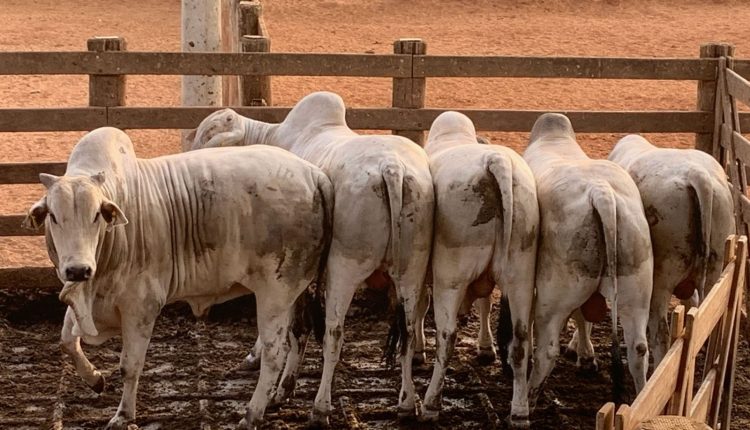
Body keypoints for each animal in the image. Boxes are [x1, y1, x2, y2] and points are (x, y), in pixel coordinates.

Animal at [23, 126, 332, 428]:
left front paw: (123, 415)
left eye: (97, 214)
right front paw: (95, 380)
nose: (79, 269)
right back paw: (282, 393)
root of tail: (313, 173)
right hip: (294, 291)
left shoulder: (141, 306)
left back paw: (252, 413)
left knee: (273, 353)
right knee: (299, 332)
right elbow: (66, 342)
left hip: (276, 293)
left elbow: (129, 366)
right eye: (53, 216)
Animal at [188, 91, 434, 424]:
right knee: (407, 333)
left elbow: (293, 330)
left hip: (345, 267)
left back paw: (320, 408)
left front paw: (277, 385)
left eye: (209, 134)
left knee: (334, 334)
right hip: (411, 270)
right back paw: (407, 403)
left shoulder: (287, 272)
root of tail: (391, 168)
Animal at [424, 111, 540, 426]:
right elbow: (486, 303)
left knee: (447, 336)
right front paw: (486, 347)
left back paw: (430, 403)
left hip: (450, 276)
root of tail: (496, 162)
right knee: (521, 339)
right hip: (521, 275)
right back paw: (520, 411)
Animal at [524, 114, 656, 406]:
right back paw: (641, 398)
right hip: (637, 287)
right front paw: (586, 357)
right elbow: (585, 316)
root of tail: (601, 193)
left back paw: (527, 400)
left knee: (547, 350)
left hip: (555, 292)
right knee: (638, 348)